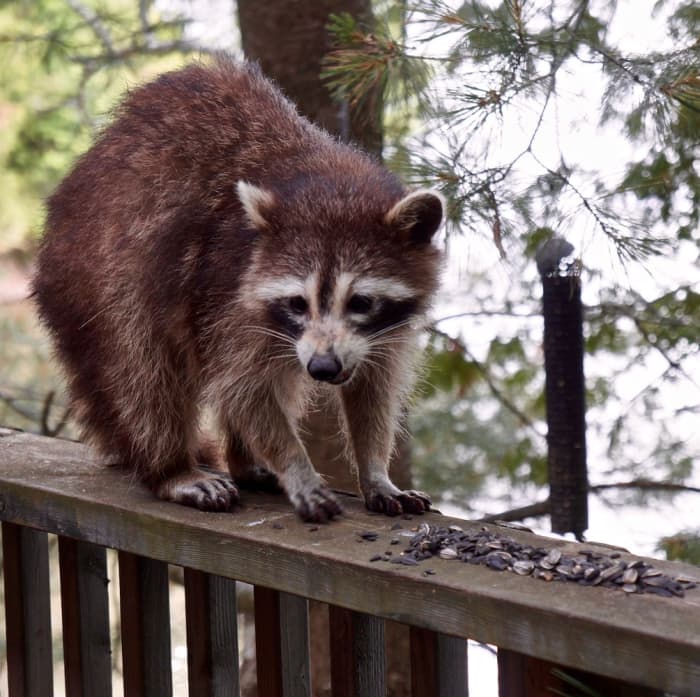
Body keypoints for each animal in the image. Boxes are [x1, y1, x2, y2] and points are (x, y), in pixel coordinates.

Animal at [34, 55, 442, 520]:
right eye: (297, 303)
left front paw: (375, 470)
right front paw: (295, 464)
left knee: (277, 375)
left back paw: (243, 461)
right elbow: (239, 386)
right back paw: (171, 467)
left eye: (361, 301)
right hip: (102, 270)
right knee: (141, 367)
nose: (323, 368)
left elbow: (373, 386)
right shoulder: (228, 283)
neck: (332, 184)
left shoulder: (381, 331)